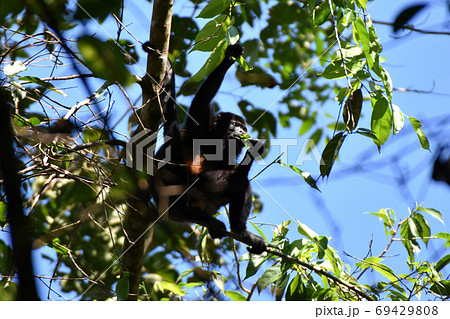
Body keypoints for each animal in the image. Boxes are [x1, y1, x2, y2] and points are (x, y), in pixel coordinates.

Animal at [142, 42, 266, 255]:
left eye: (244, 128)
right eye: (235, 124)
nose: (241, 132)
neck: (217, 138)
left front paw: (253, 150)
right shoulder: (200, 122)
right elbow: (203, 96)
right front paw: (228, 60)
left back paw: (229, 228)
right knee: (236, 180)